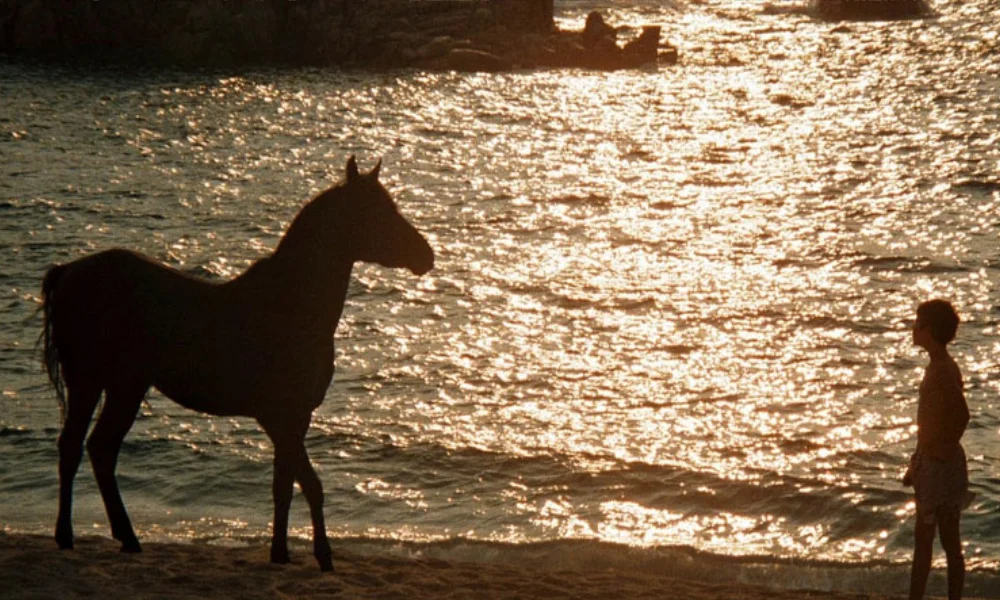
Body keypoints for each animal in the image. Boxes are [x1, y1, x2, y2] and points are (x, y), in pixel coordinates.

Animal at [40, 156, 434, 572]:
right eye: (378, 212)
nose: (426, 255)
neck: (291, 304)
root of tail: (69, 270)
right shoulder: (280, 417)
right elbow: (310, 485)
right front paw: (323, 556)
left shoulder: (294, 419)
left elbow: (284, 486)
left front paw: (281, 553)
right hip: (91, 382)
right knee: (75, 447)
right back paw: (71, 536)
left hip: (123, 387)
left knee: (99, 449)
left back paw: (126, 538)